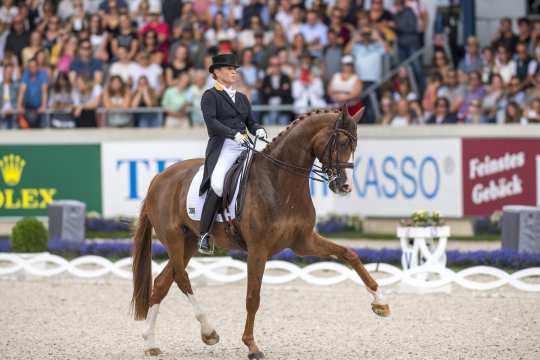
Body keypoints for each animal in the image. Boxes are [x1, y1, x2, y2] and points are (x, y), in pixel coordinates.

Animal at [133, 103, 390, 358]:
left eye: (354, 144)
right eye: (342, 142)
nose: (344, 186)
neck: (280, 182)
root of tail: (159, 177)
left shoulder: (304, 242)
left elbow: (349, 254)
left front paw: (380, 303)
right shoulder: (258, 249)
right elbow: (252, 297)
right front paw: (251, 345)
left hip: (189, 241)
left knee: (163, 282)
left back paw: (150, 342)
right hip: (174, 239)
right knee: (181, 278)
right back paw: (208, 332)